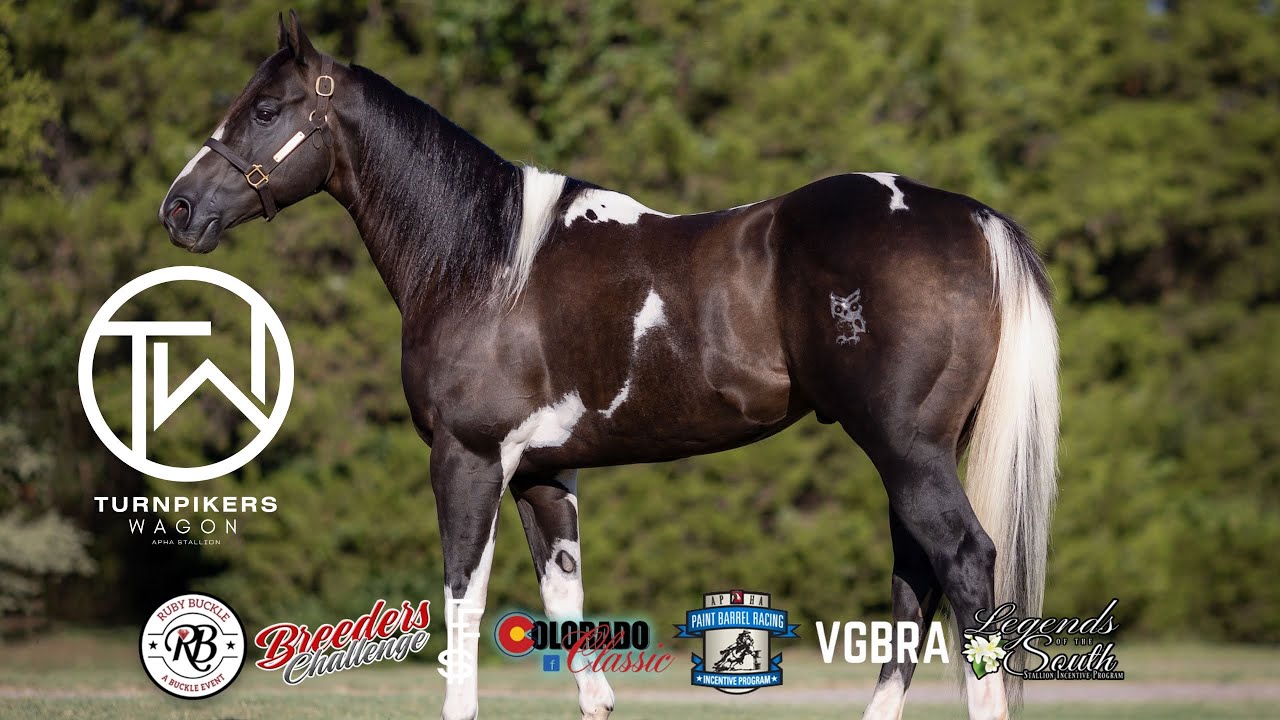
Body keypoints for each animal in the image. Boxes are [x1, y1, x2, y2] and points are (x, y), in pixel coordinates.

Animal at [159, 13, 1058, 720]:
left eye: (266, 109)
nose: (178, 209)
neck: (485, 261)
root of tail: (973, 217)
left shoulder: (468, 459)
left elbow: (462, 599)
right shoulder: (543, 475)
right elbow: (566, 609)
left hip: (904, 448)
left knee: (962, 563)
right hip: (915, 452)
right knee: (915, 580)